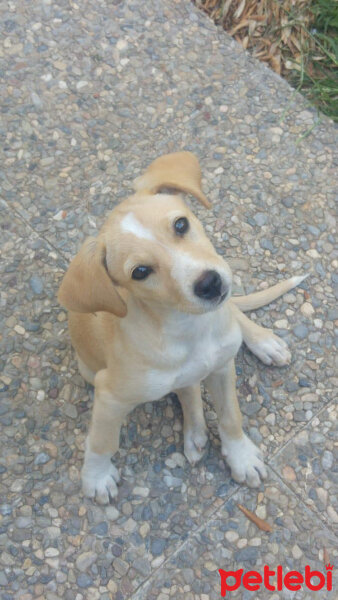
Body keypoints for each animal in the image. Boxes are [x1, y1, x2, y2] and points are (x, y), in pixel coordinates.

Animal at [58, 152, 306, 504]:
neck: (188, 328)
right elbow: (102, 441)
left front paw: (241, 456)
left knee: (230, 320)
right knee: (186, 387)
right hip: (88, 371)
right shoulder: (109, 394)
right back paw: (194, 432)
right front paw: (96, 477)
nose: (210, 283)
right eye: (140, 271)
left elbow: (231, 417)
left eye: (180, 224)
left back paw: (263, 342)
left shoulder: (222, 369)